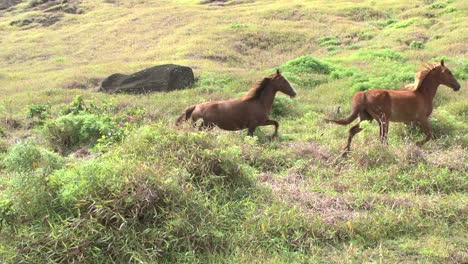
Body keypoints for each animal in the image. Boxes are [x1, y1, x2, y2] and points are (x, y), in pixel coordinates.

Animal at [326, 59, 460, 152]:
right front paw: (416, 144)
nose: (458, 86)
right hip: (383, 119)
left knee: (353, 131)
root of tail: (364, 94)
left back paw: (346, 152)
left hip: (368, 119)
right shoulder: (422, 118)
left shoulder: (411, 121)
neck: (423, 94)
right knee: (382, 137)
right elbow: (430, 135)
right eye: (448, 72)